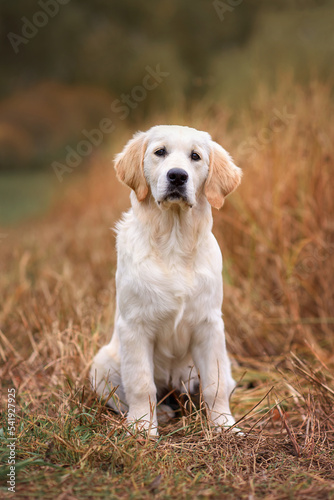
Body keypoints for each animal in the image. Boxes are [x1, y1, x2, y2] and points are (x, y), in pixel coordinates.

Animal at [90, 126, 243, 438]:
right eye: (159, 152)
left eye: (195, 156)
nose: (177, 176)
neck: (174, 241)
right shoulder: (134, 327)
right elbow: (140, 384)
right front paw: (141, 427)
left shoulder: (209, 326)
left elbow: (215, 384)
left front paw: (223, 424)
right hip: (101, 365)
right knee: (124, 397)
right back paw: (159, 413)